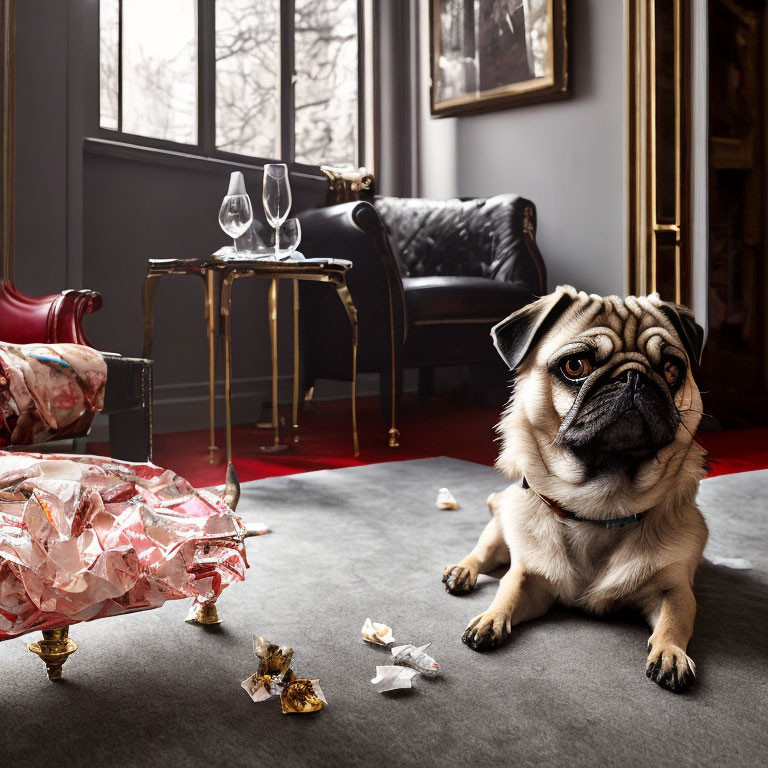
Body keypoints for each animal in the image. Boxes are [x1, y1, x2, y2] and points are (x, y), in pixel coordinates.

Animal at [444, 284, 708, 692]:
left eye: (671, 370)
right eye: (575, 367)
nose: (634, 377)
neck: (600, 505)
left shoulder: (674, 589)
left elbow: (676, 618)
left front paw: (671, 654)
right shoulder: (530, 579)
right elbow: (508, 588)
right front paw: (490, 618)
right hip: (500, 531)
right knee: (484, 554)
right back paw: (463, 572)